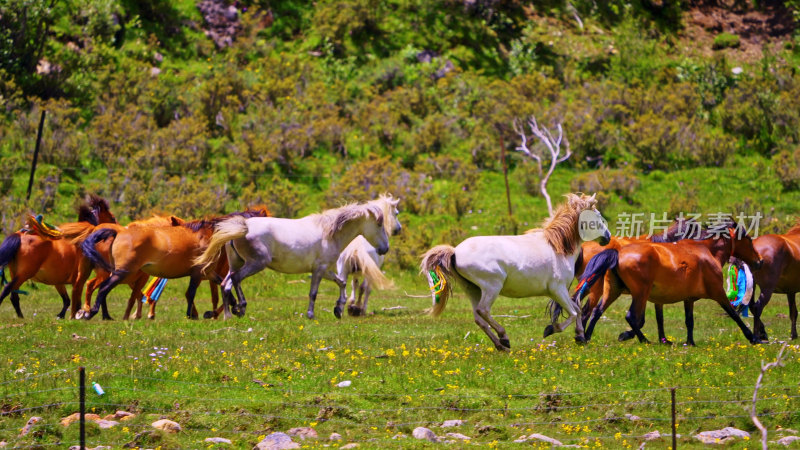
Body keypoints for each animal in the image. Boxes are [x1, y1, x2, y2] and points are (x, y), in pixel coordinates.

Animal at [81, 207, 268, 320]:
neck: (210, 235)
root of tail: (119, 232)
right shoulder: (198, 273)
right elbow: (190, 294)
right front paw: (190, 316)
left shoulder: (208, 272)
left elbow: (224, 287)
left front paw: (236, 308)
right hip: (123, 273)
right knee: (103, 288)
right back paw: (93, 313)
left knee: (103, 289)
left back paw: (105, 316)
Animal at [195, 198, 394, 320]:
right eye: (379, 224)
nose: (385, 248)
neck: (329, 233)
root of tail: (243, 227)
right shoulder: (319, 270)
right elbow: (314, 293)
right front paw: (311, 314)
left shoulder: (325, 270)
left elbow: (341, 283)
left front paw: (338, 309)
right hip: (255, 264)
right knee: (235, 280)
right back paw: (241, 308)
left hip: (237, 263)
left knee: (225, 284)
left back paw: (229, 315)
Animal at [418, 192, 612, 348]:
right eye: (598, 216)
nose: (607, 237)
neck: (557, 247)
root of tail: (455, 251)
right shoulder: (557, 289)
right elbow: (572, 313)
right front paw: (551, 329)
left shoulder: (559, 291)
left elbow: (577, 309)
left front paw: (580, 337)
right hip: (491, 287)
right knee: (483, 311)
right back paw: (503, 337)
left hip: (473, 290)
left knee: (479, 319)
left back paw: (501, 345)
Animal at [580, 223, 764, 346]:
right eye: (748, 239)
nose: (760, 261)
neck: (708, 252)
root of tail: (617, 253)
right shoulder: (718, 292)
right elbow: (733, 314)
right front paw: (752, 337)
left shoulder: (688, 299)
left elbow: (688, 320)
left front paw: (689, 342)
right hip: (640, 293)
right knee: (630, 316)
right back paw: (644, 340)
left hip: (613, 291)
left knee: (596, 311)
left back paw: (585, 338)